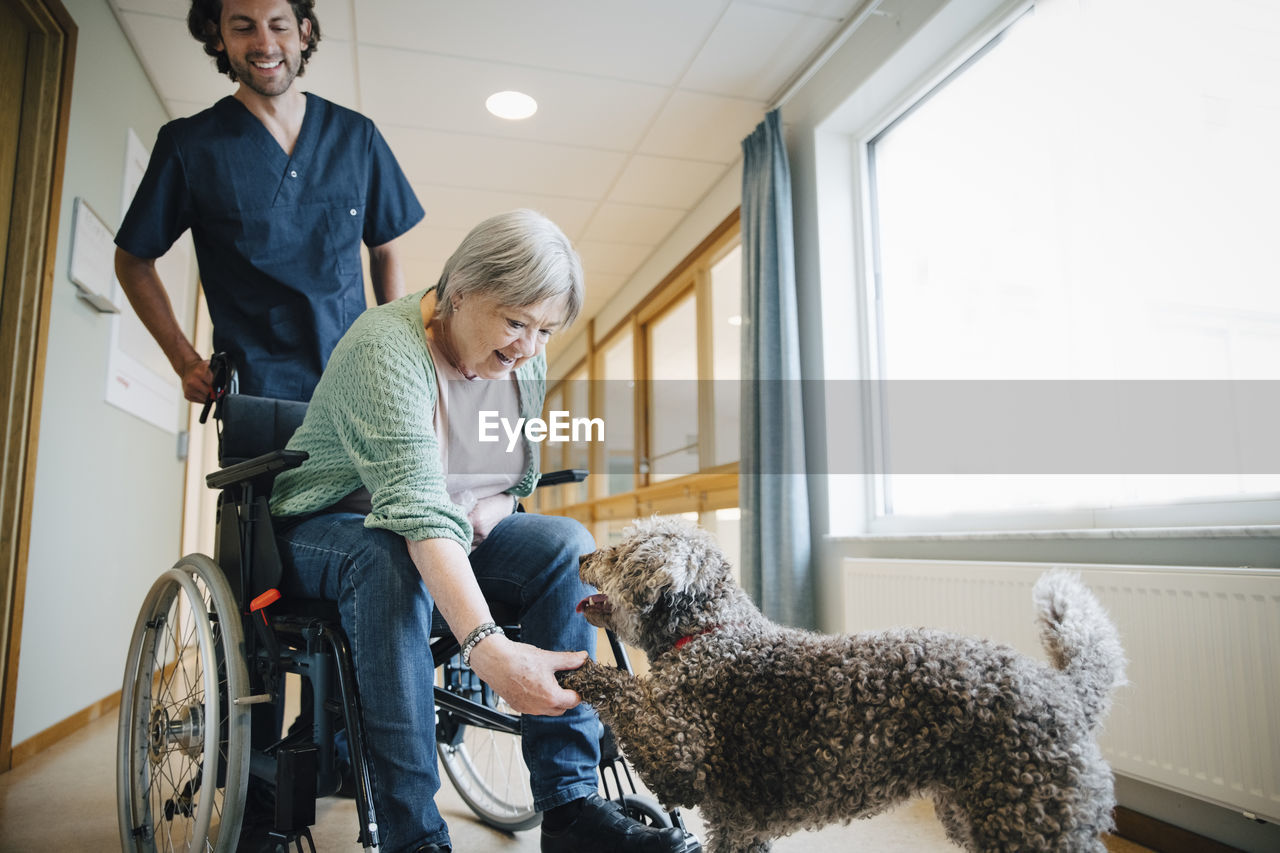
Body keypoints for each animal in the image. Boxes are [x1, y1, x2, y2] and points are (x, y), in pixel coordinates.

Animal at [560, 514, 1131, 850]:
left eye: (620, 552)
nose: (583, 556)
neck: (712, 636)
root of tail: (1067, 693)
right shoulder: (738, 824)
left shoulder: (678, 755)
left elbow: (621, 687)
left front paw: (571, 667)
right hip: (976, 813)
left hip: (1027, 821)